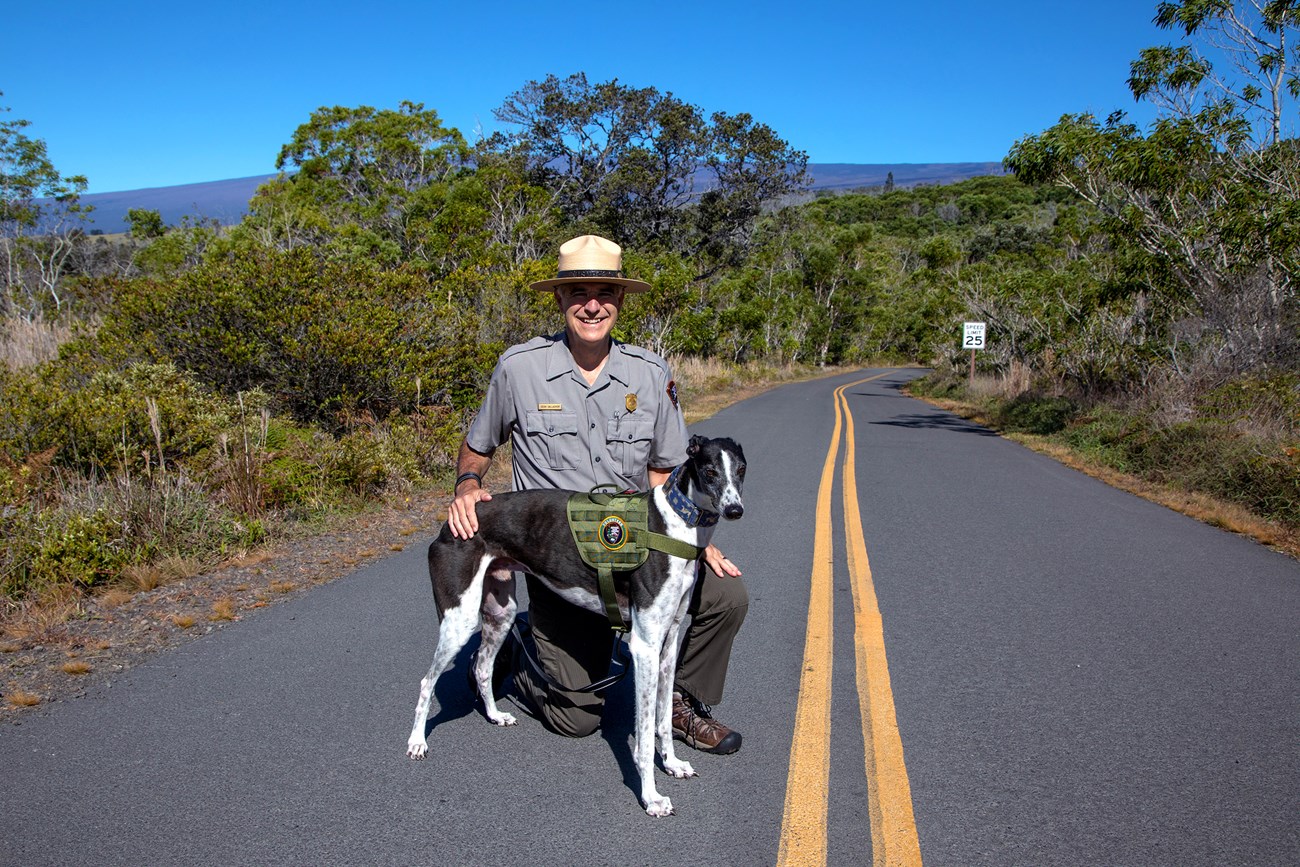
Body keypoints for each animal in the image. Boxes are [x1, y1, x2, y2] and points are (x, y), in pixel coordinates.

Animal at [410, 436, 748, 816]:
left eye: (741, 469)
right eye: (710, 471)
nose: (735, 510)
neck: (674, 524)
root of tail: (447, 525)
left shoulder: (669, 642)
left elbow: (661, 718)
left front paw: (673, 764)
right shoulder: (644, 646)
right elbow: (645, 733)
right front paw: (651, 798)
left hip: (501, 611)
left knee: (483, 666)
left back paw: (495, 714)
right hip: (460, 618)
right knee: (427, 682)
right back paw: (417, 742)